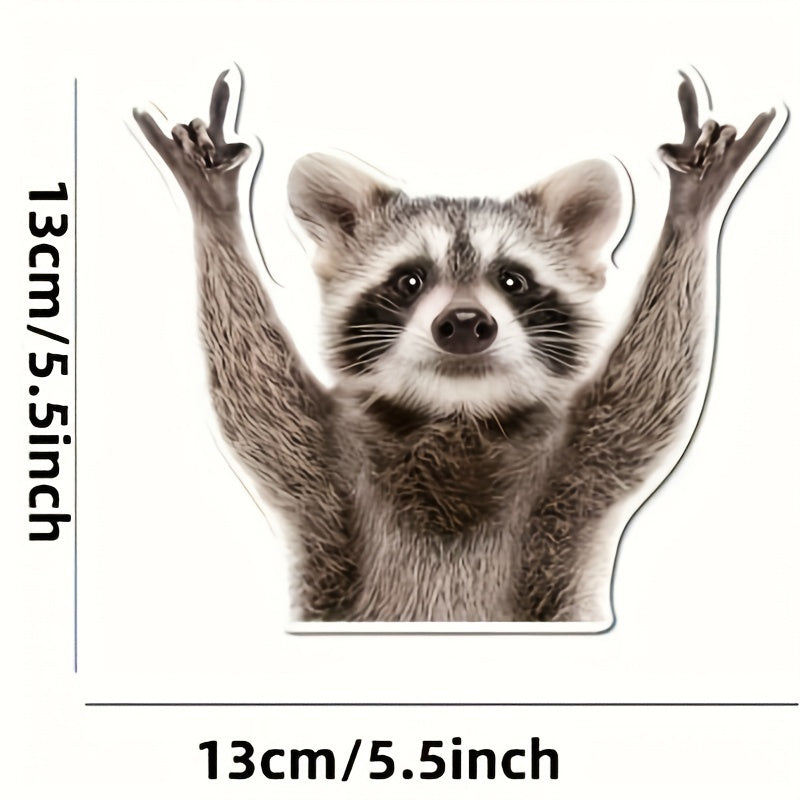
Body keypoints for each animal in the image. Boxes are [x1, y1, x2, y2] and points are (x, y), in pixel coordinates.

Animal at [134, 71, 778, 622]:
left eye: (513, 280)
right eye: (409, 280)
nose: (466, 323)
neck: (457, 414)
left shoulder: (576, 478)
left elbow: (647, 397)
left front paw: (689, 211)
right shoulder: (326, 479)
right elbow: (256, 398)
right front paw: (215, 210)